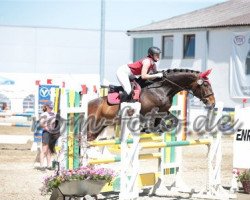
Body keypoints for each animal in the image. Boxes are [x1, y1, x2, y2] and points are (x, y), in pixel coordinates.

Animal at [86, 69, 215, 141]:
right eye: (205, 85)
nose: (212, 103)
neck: (162, 89)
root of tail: (89, 103)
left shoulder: (164, 111)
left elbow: (173, 120)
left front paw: (160, 129)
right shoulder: (147, 111)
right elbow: (151, 121)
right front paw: (148, 129)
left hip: (98, 127)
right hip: (93, 125)